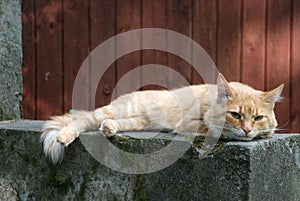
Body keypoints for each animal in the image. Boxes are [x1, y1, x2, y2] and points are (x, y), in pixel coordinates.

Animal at [40, 74, 284, 163]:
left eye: (258, 117)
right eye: (235, 115)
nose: (247, 130)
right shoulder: (190, 123)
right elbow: (216, 130)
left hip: (136, 122)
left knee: (111, 124)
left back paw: (109, 128)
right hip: (112, 111)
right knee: (80, 121)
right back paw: (65, 136)